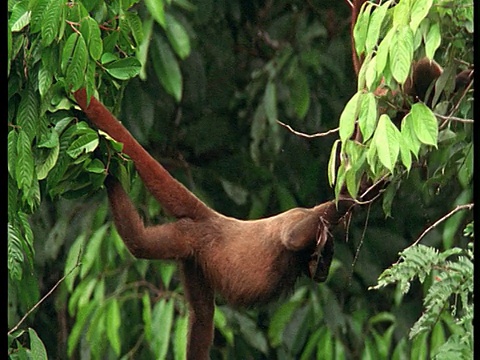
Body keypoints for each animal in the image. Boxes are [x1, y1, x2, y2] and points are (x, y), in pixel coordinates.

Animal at [72, 88, 356, 360]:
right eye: (326, 259)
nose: (324, 271)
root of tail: (213, 218)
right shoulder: (299, 217)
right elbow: (293, 237)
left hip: (193, 256)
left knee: (202, 314)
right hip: (189, 236)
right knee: (140, 244)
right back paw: (110, 176)